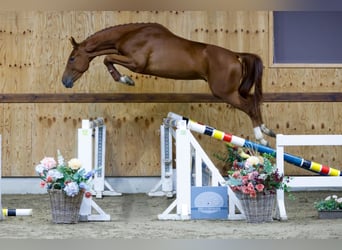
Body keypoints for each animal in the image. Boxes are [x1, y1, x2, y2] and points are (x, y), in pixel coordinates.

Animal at [62, 23, 276, 146]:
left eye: (72, 58)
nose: (65, 82)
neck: (131, 35)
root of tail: (235, 55)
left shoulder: (136, 63)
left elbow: (107, 59)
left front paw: (126, 80)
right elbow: (108, 59)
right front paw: (125, 79)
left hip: (224, 92)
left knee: (249, 106)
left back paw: (261, 137)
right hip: (231, 91)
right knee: (253, 101)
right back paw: (267, 130)